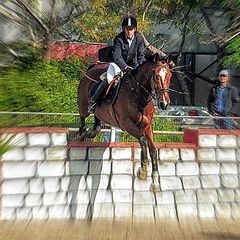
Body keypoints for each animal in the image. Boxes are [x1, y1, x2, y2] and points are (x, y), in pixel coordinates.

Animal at [77, 53, 172, 192]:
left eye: (170, 75)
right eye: (155, 75)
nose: (164, 104)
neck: (138, 94)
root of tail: (90, 69)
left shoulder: (147, 125)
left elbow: (153, 149)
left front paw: (155, 181)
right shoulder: (127, 124)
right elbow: (143, 141)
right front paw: (143, 171)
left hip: (99, 113)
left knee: (97, 124)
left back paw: (91, 132)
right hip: (84, 106)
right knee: (83, 118)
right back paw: (81, 134)